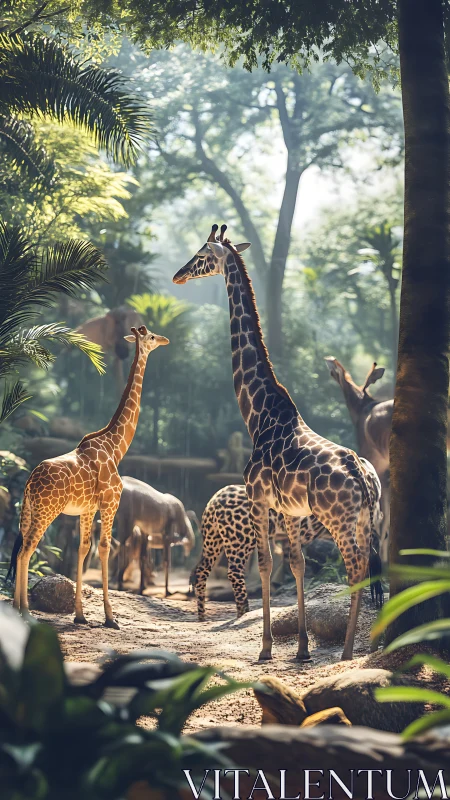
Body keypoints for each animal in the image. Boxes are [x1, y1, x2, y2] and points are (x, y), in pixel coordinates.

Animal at [7, 325, 169, 628]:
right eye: (151, 336)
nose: (165, 340)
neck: (115, 447)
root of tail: (30, 481)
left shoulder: (86, 509)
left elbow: (83, 550)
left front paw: (80, 615)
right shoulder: (111, 502)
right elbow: (104, 548)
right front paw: (110, 617)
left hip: (29, 510)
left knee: (22, 546)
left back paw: (16, 611)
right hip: (47, 511)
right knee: (26, 550)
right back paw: (26, 613)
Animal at [173, 224, 381, 661]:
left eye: (202, 255)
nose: (178, 275)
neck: (258, 415)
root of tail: (361, 473)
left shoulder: (259, 497)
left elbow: (268, 565)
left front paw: (267, 647)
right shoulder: (289, 509)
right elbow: (297, 566)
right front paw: (301, 648)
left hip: (340, 521)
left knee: (355, 567)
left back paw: (348, 651)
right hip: (364, 519)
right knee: (371, 567)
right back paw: (365, 645)